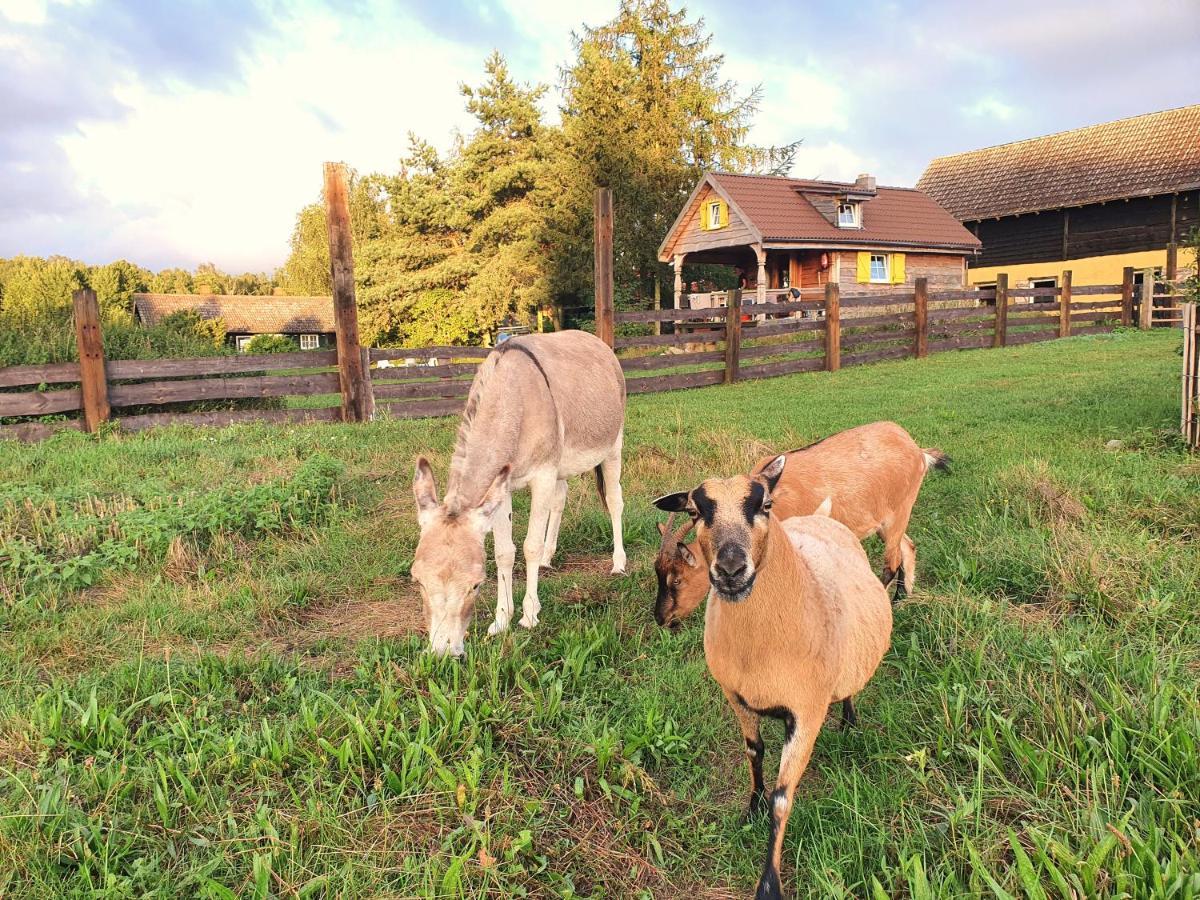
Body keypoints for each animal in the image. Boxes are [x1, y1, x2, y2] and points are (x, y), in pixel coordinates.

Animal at [657, 422, 945, 628]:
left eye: (677, 580)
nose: (661, 618)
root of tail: (917, 450)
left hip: (899, 513)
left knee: (891, 563)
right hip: (887, 521)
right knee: (908, 547)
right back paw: (901, 601)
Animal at [657, 458, 892, 900]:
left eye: (765, 505)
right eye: (695, 512)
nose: (731, 569)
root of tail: (821, 517)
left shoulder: (807, 713)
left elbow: (784, 799)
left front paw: (769, 883)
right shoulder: (736, 696)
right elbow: (754, 754)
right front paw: (751, 809)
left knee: (850, 688)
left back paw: (850, 723)